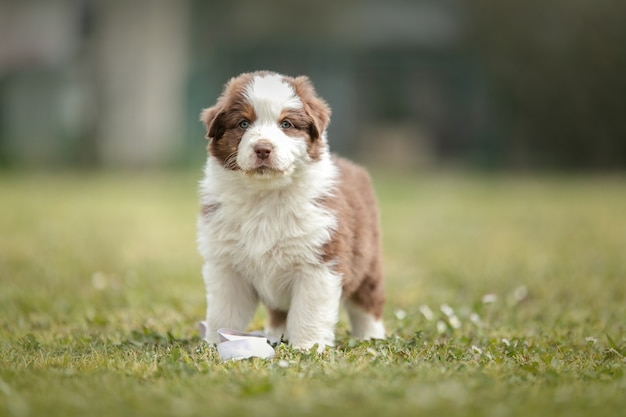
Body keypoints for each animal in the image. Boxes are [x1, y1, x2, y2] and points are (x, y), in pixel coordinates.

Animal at [197, 71, 382, 352]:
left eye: (286, 124)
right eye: (243, 123)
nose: (263, 149)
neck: (265, 197)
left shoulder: (319, 263)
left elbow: (308, 312)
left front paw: (307, 347)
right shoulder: (227, 267)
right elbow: (224, 312)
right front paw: (215, 345)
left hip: (367, 261)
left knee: (368, 301)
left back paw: (372, 337)